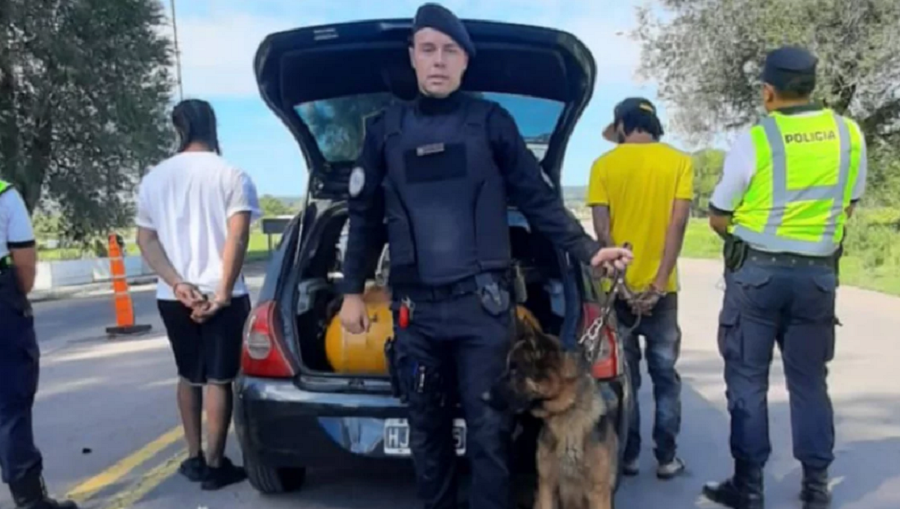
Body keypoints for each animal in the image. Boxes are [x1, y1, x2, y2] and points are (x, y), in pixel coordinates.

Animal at [500, 317, 618, 509]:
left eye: (514, 370)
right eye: (508, 369)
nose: (483, 396)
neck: (566, 413)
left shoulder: (598, 492)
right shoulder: (547, 486)